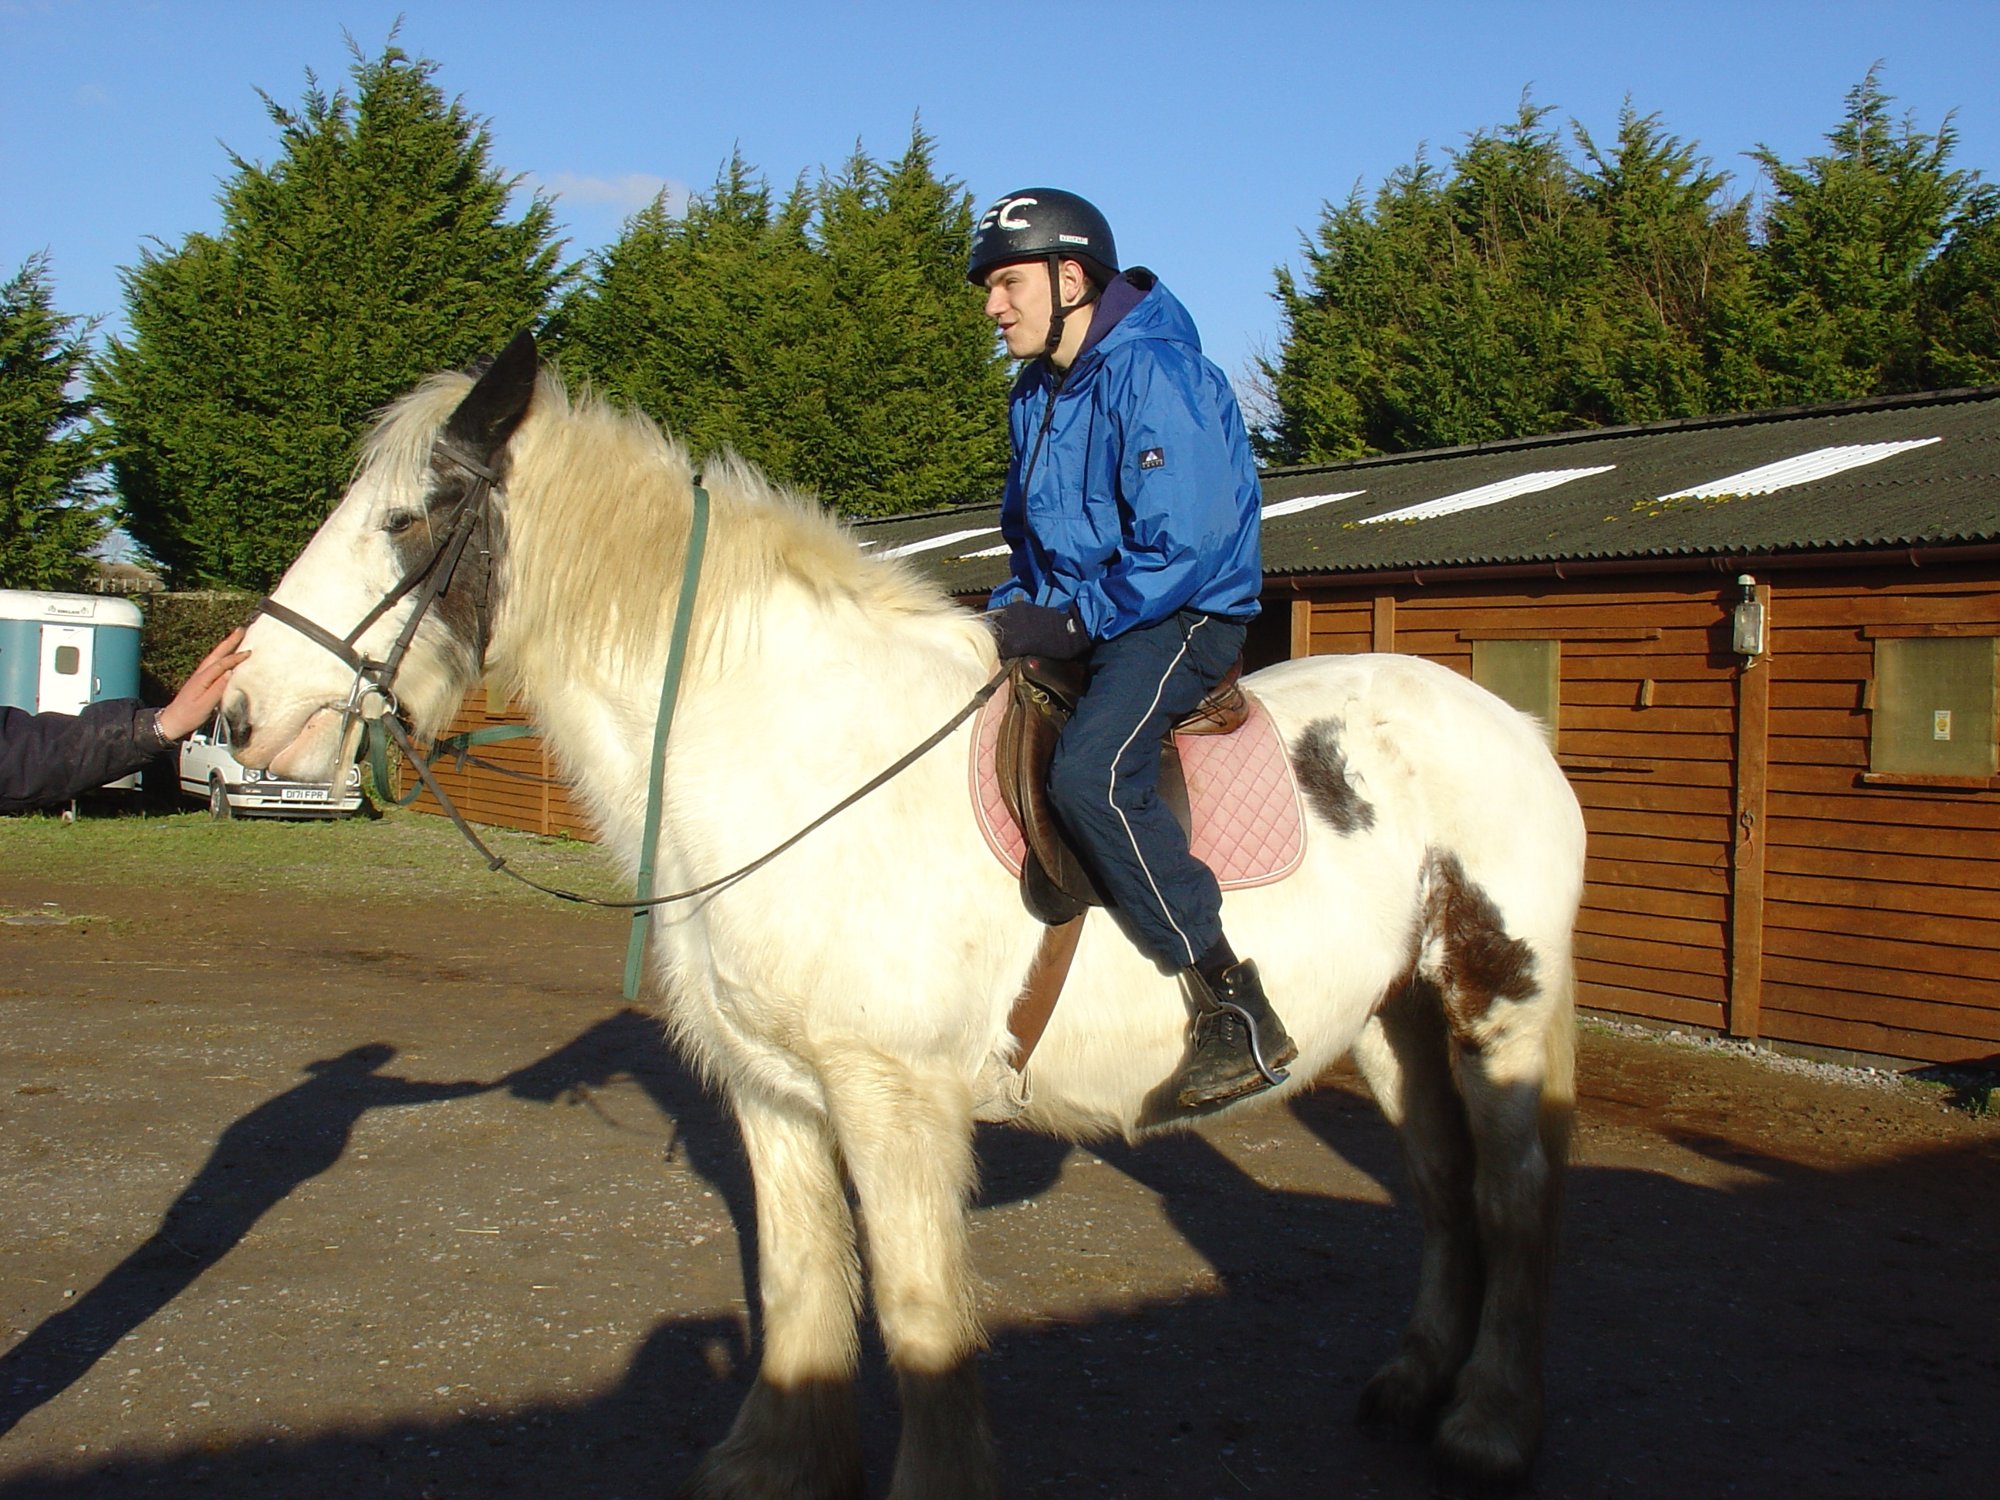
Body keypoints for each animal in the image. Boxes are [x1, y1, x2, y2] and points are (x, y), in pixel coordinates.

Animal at [226, 331, 1584, 1498]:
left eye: (405, 520)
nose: (245, 713)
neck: (796, 754)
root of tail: (1509, 723)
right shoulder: (773, 1092)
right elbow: (801, 1283)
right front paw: (778, 1464)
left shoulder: (895, 1104)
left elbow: (922, 1317)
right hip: (1390, 1018)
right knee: (1440, 1190)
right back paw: (1411, 1382)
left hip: (1497, 1008)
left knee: (1514, 1202)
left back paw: (1487, 1426)